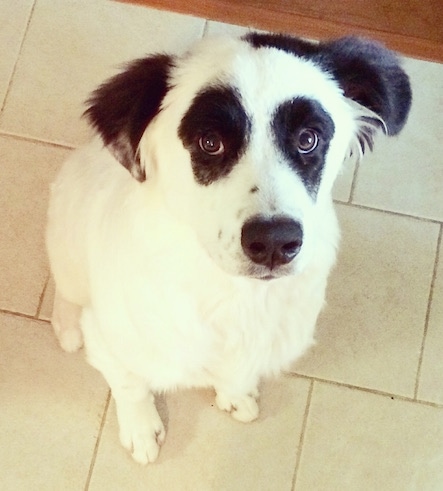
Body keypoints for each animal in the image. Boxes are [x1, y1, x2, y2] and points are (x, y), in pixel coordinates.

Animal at [46, 31, 412, 466]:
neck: (236, 296)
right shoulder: (111, 342)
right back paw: (67, 326)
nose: (273, 242)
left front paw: (234, 395)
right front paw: (140, 428)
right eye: (210, 142)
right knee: (66, 292)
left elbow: (236, 374)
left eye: (308, 139)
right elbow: (130, 384)